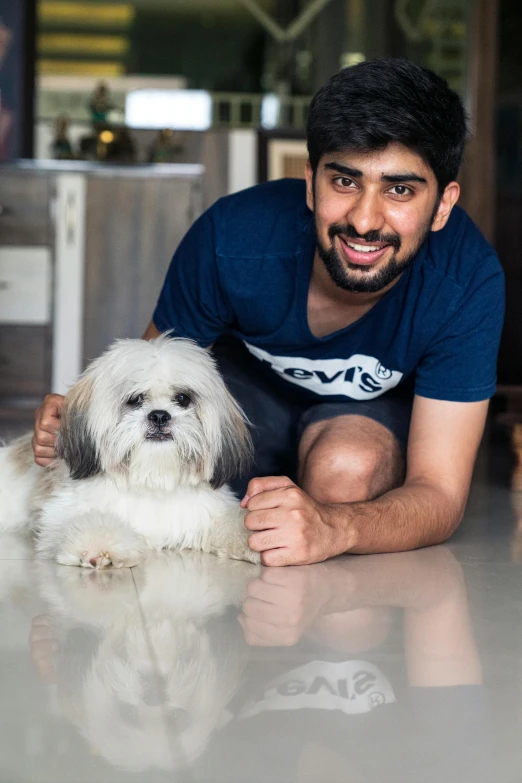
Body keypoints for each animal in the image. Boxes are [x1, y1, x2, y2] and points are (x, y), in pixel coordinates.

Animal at [0, 334, 258, 568]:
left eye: (183, 398)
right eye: (135, 399)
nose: (159, 415)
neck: (152, 480)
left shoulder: (205, 514)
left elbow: (235, 523)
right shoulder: (60, 514)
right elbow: (86, 522)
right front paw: (99, 545)